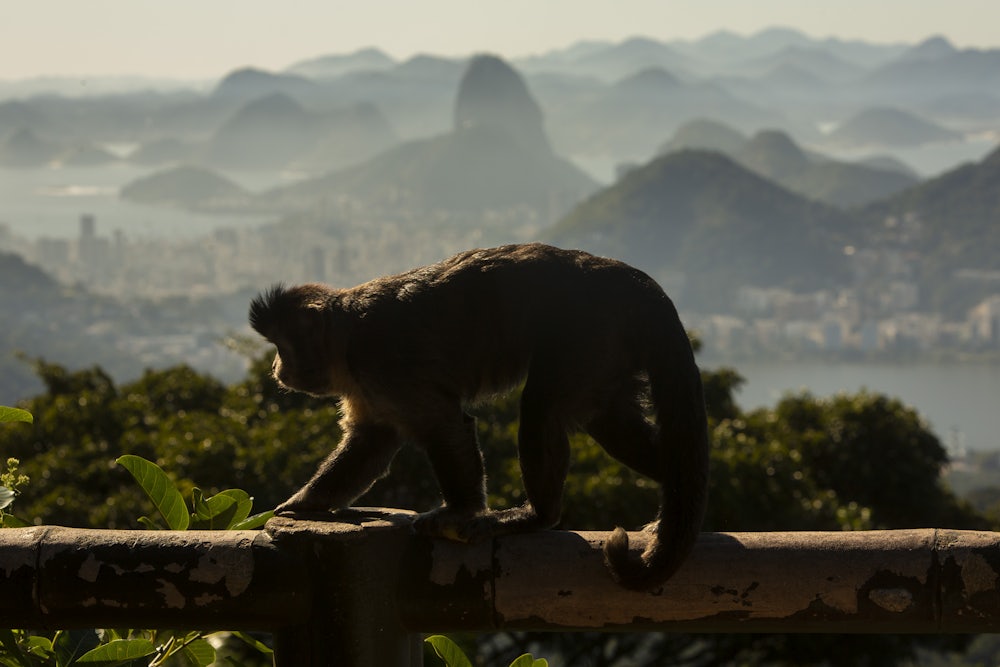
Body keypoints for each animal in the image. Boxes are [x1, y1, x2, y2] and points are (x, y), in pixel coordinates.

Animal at [249, 242, 708, 590]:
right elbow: (371, 441)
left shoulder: (382, 363)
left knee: (541, 407)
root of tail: (622, 277)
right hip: (608, 349)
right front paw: (299, 505)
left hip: (586, 331)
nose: (276, 368)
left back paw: (536, 516)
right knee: (609, 423)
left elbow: (445, 425)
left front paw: (460, 512)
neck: (347, 341)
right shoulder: (366, 385)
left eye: (283, 347)